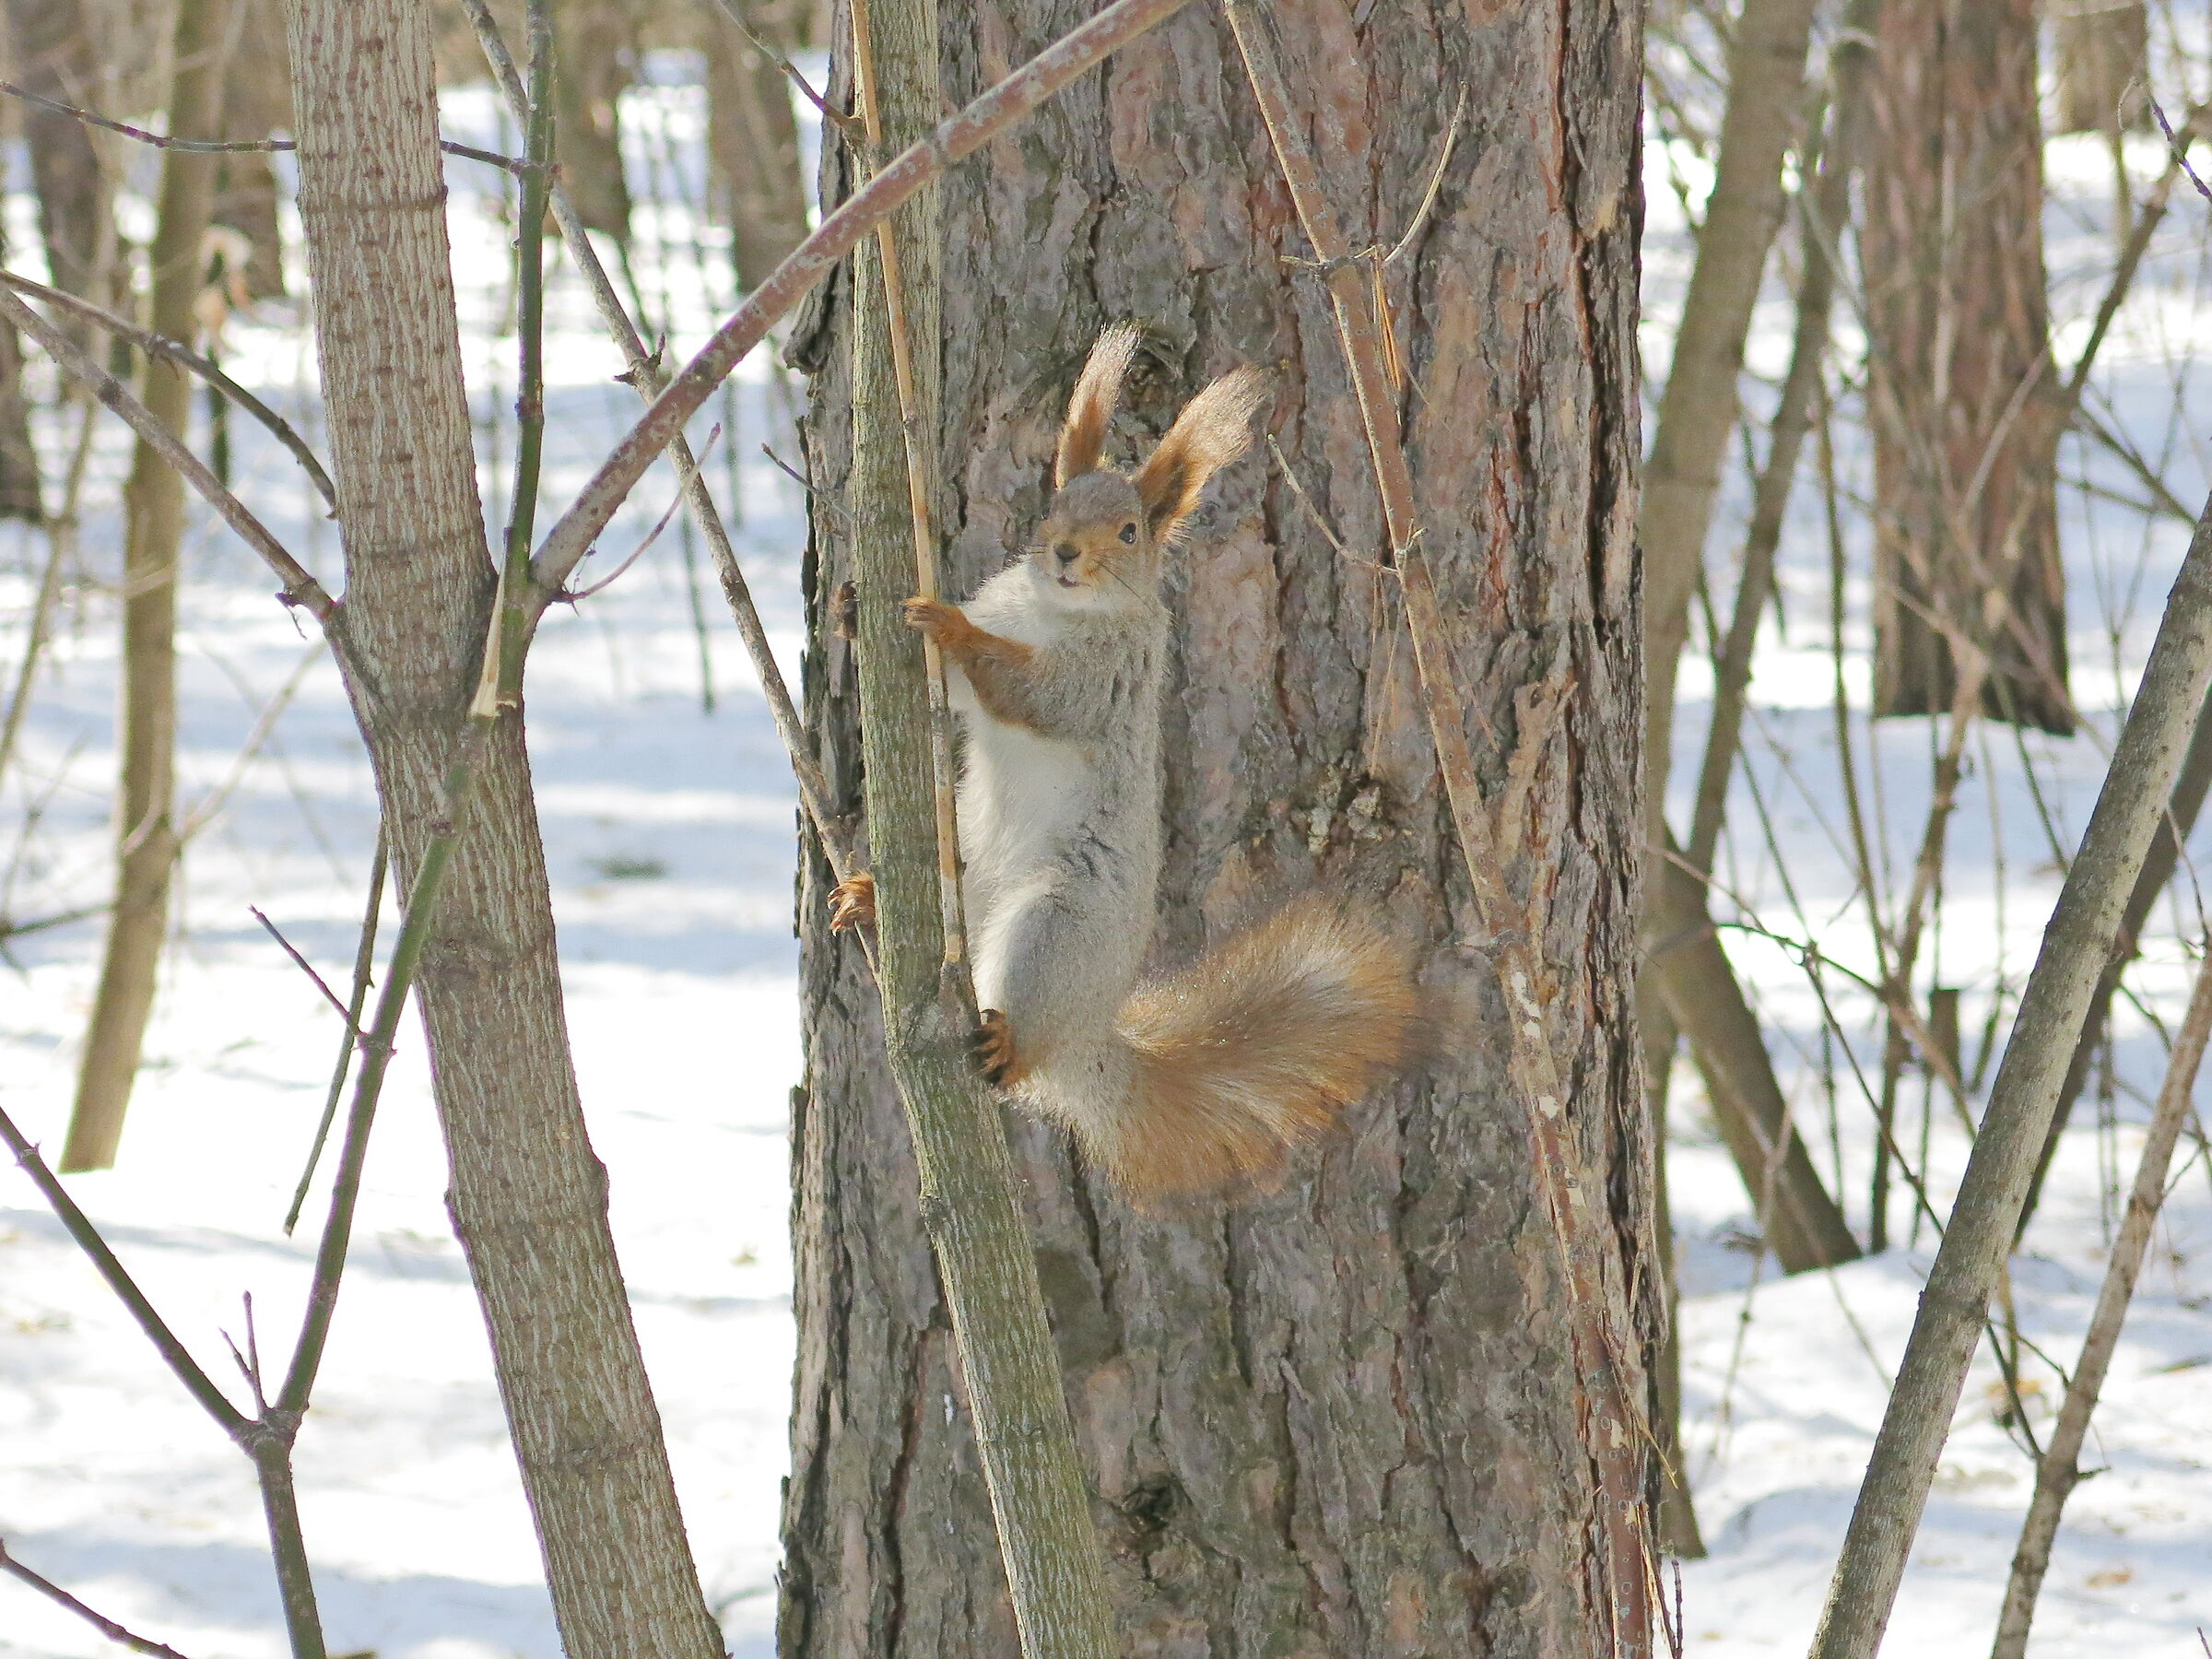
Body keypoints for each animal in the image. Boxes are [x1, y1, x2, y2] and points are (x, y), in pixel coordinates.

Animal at [833, 324, 1415, 1202]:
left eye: (1132, 532)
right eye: (1052, 508)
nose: (1068, 553)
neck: (1052, 611)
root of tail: (1087, 1041)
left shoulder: (1110, 680)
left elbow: (1036, 695)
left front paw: (953, 630)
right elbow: (971, 698)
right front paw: (847, 609)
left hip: (1057, 926)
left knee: (1028, 1030)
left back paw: (1009, 1045)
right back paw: (868, 897)